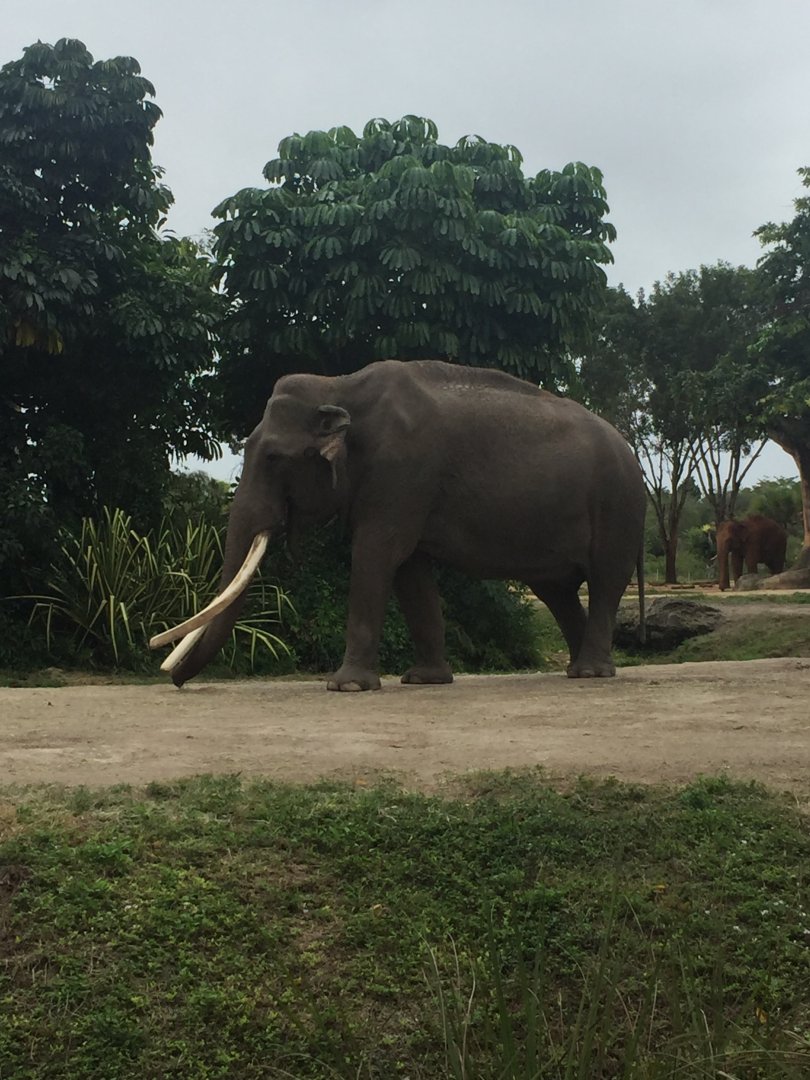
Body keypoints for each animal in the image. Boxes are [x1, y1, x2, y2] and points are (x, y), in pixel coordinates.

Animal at [152, 360, 647, 689]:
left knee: (604, 580)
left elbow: (376, 553)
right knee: (558, 590)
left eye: (273, 457)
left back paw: (591, 673)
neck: (340, 385)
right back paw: (578, 670)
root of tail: (631, 451)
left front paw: (347, 686)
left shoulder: (403, 471)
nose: (175, 681)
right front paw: (424, 680)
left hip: (618, 507)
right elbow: (409, 570)